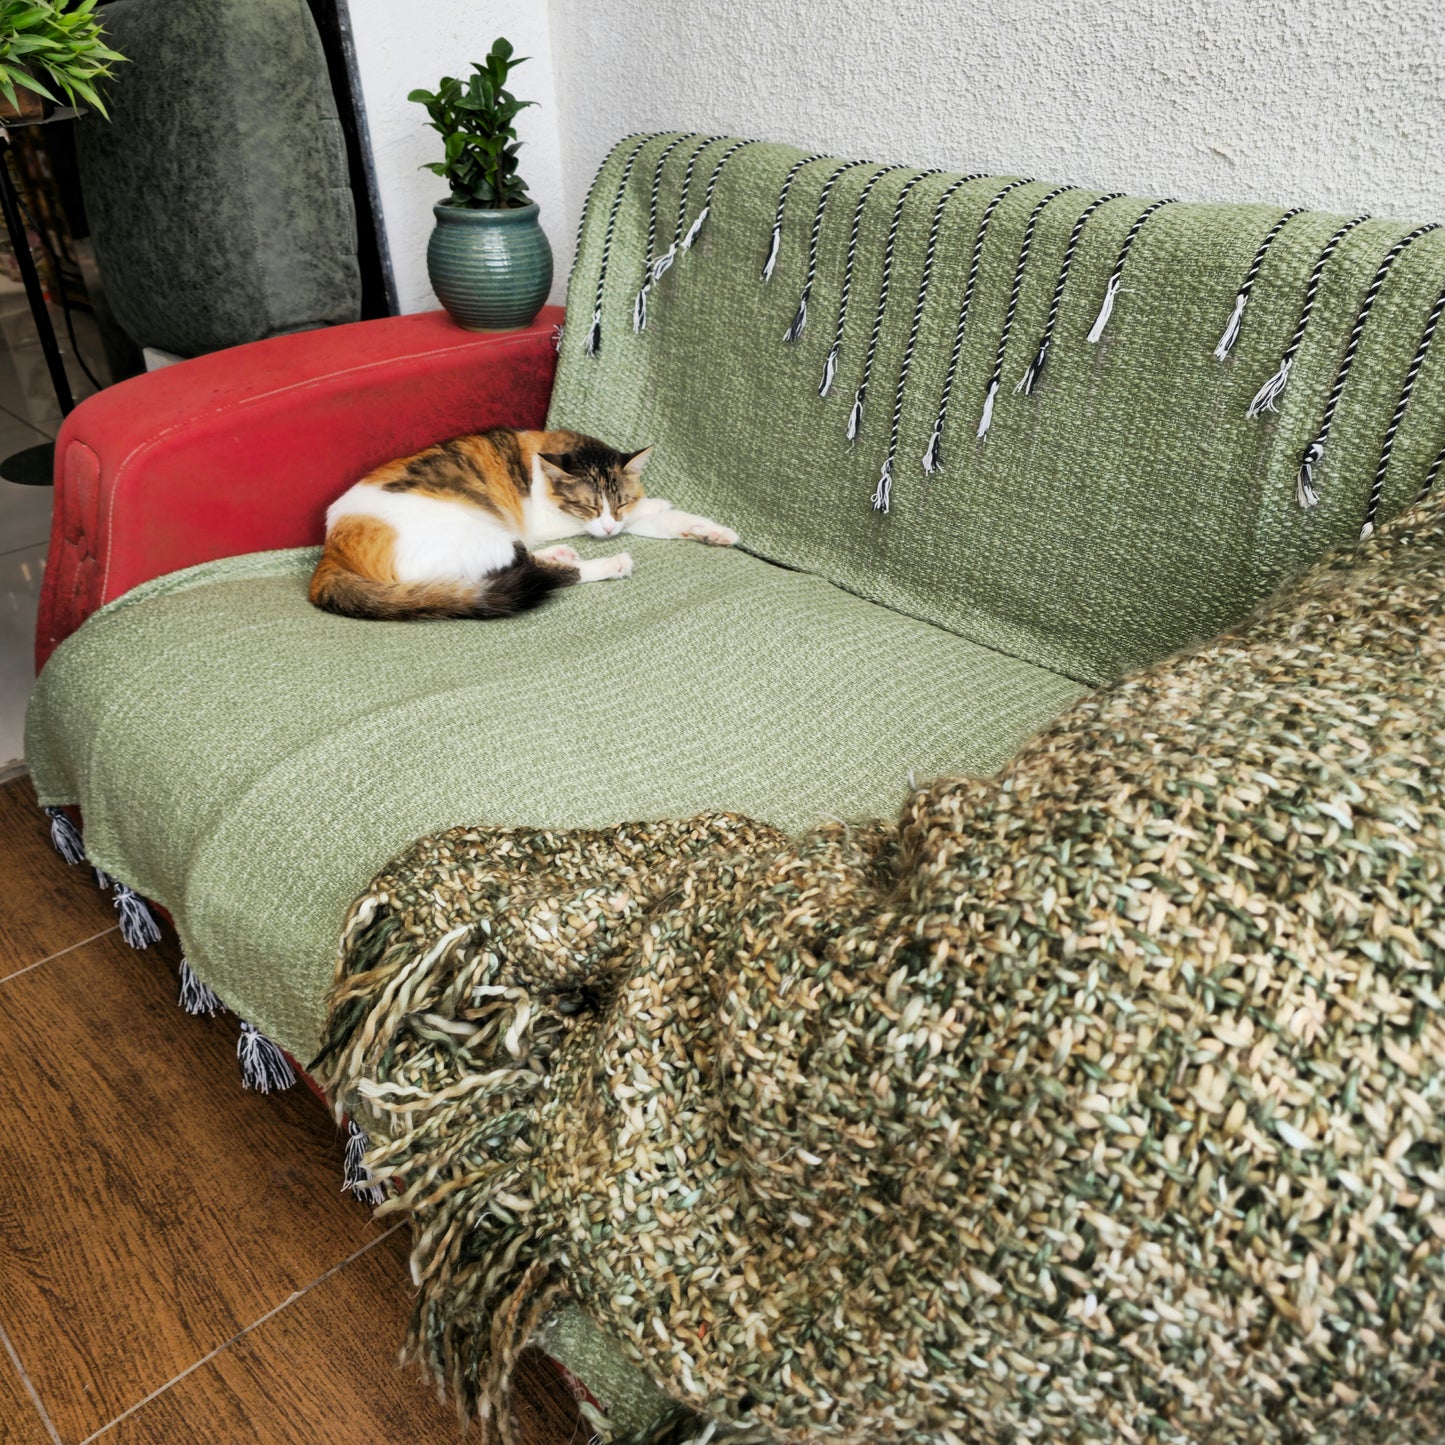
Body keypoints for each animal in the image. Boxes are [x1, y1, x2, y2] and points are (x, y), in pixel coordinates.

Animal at [304, 421, 734, 615]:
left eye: (619, 502)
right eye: (589, 506)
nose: (611, 526)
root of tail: (330, 553)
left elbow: (661, 519)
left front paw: (711, 531)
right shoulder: (553, 518)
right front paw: (656, 505)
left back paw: (562, 554)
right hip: (476, 535)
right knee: (536, 568)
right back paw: (608, 563)